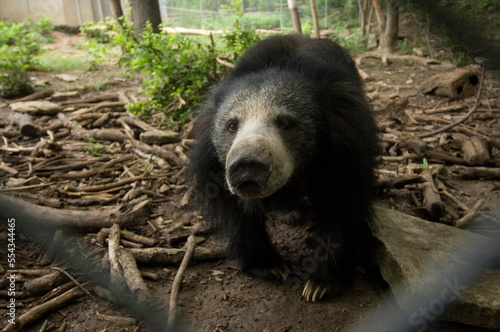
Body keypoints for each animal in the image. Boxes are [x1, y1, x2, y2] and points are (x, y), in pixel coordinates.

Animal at [190, 35, 378, 302]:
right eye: (232, 125)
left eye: (285, 122)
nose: (247, 164)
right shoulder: (214, 163)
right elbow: (237, 211)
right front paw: (271, 267)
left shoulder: (346, 145)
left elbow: (341, 202)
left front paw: (321, 284)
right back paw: (287, 211)